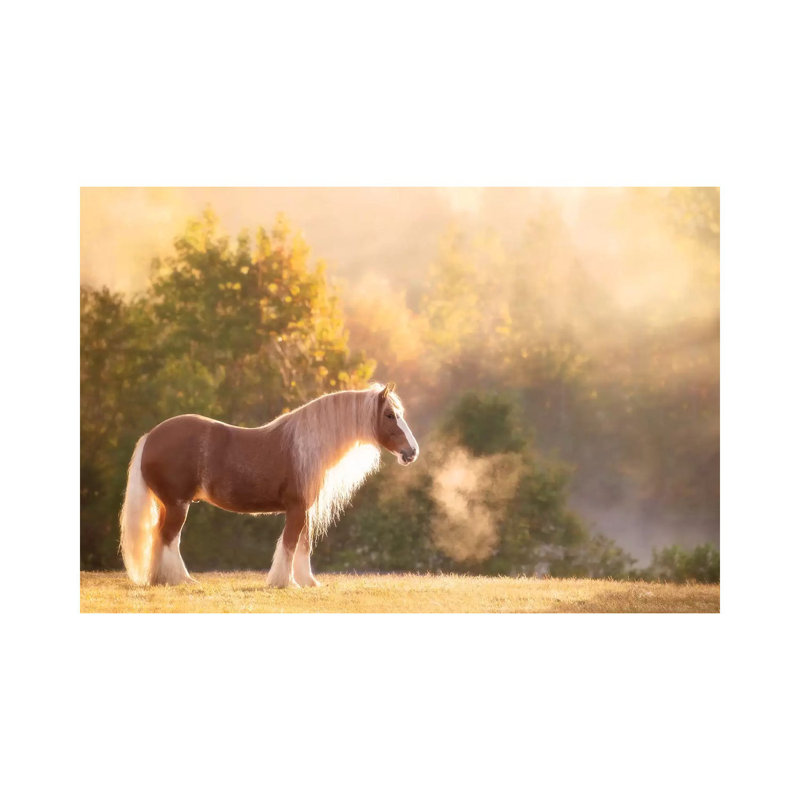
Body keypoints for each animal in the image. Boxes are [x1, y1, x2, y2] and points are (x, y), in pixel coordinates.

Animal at [119, 382, 419, 588]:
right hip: (178, 505)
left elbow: (303, 545)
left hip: (167, 505)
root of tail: (151, 436)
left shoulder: (304, 510)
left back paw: (160, 578)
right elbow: (289, 544)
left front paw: (308, 582)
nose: (412, 452)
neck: (307, 446)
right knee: (170, 538)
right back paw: (181, 579)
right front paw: (285, 582)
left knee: (160, 537)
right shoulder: (296, 509)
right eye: (390, 415)